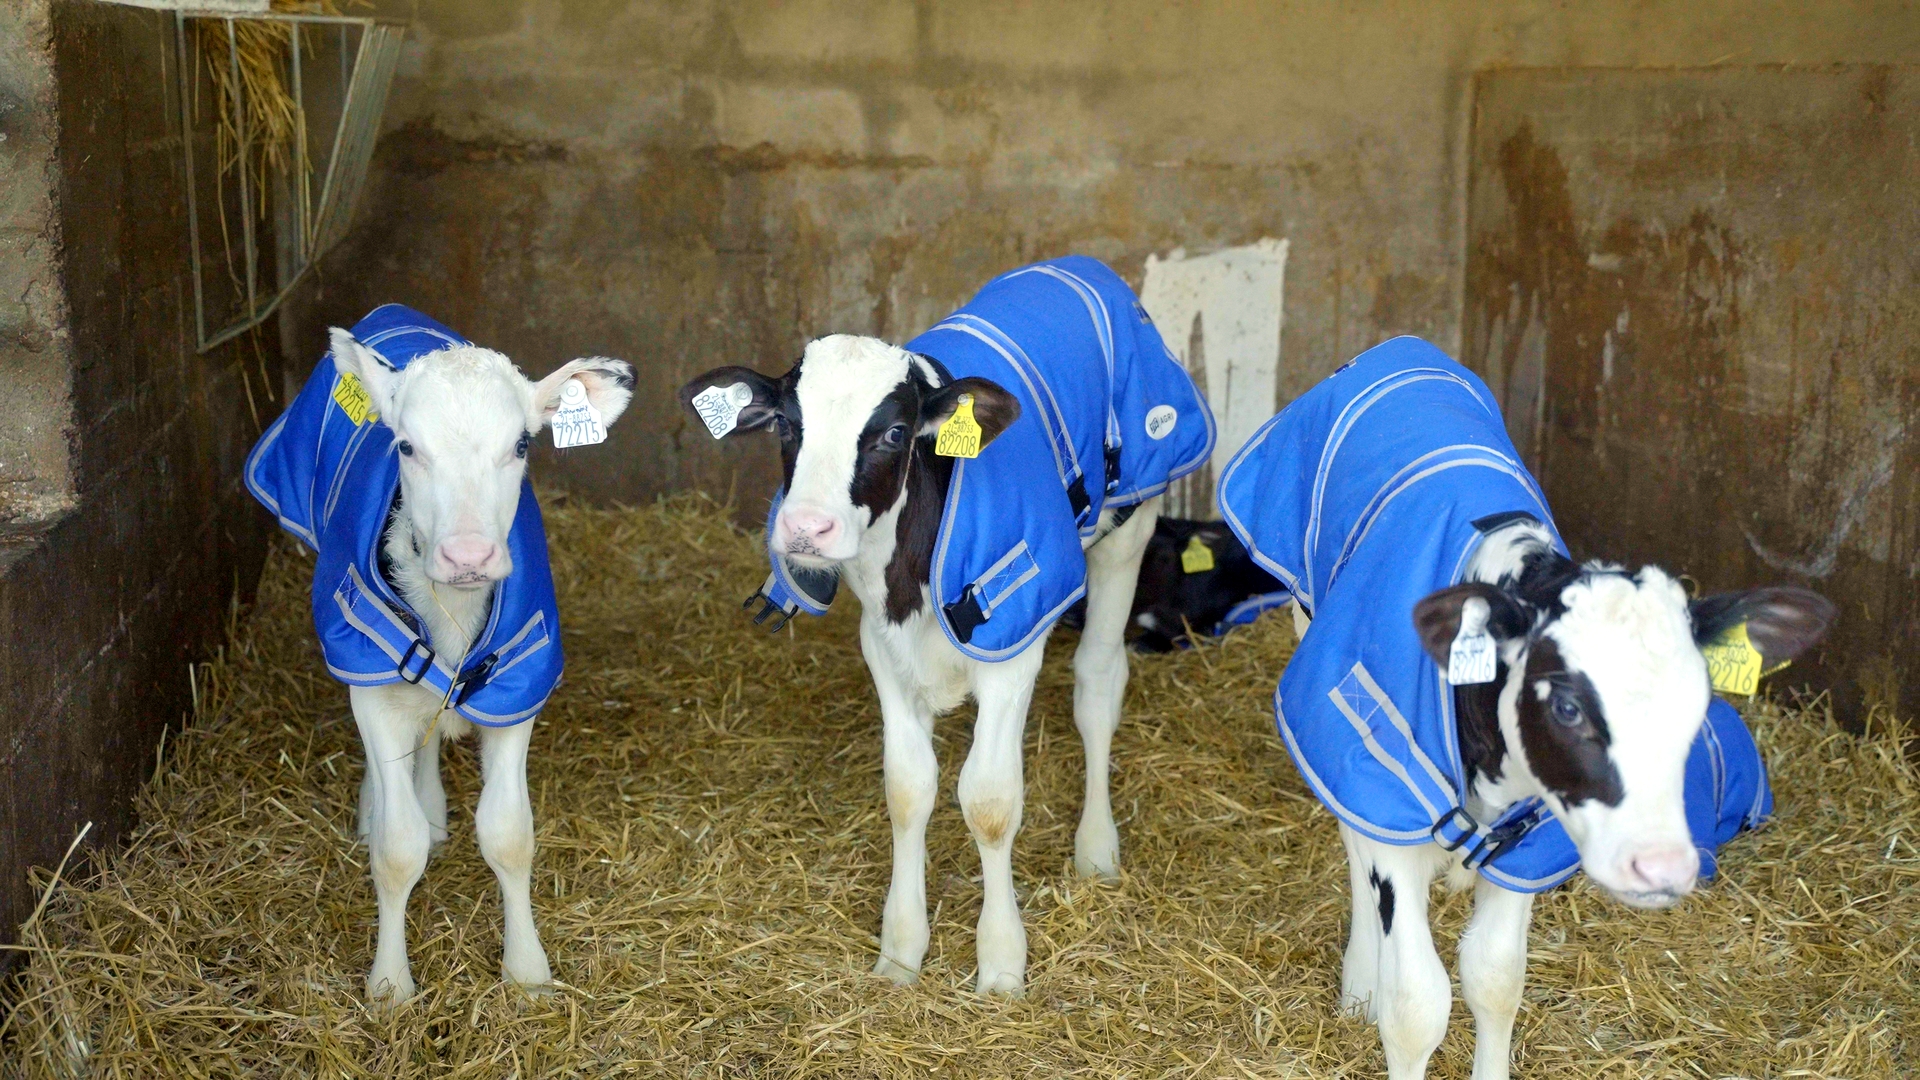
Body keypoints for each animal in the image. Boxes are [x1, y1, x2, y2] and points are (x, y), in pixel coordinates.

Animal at [245, 305, 633, 1004]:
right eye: (405, 447)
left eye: (522, 445)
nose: (467, 556)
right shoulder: (370, 676)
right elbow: (397, 850)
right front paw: (389, 985)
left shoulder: (518, 681)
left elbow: (509, 835)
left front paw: (527, 972)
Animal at [680, 256, 1214, 993]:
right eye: (786, 425)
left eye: (893, 434)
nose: (806, 527)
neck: (911, 566)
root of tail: (1075, 266)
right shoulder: (883, 646)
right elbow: (909, 790)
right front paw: (900, 950)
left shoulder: (1011, 644)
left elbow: (989, 801)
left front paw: (1001, 962)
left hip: (1131, 523)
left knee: (1098, 684)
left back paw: (1097, 848)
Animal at [1215, 336, 1834, 1079]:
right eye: (1565, 707)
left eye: (1698, 701)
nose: (1662, 867)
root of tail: (1398, 348)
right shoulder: (1385, 786)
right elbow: (1416, 1004)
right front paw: (1380, 990)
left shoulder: (1532, 842)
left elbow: (1494, 978)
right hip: (1320, 656)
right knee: (1349, 833)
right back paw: (1362, 975)